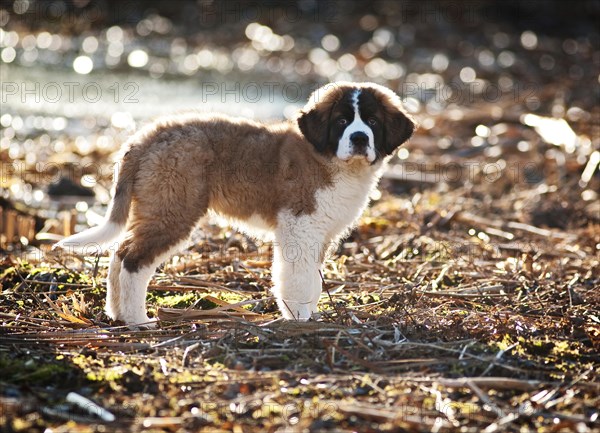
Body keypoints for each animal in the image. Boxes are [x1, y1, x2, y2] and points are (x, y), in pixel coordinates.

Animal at [54, 81, 414, 324]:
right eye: (341, 121)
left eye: (373, 122)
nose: (359, 138)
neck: (329, 160)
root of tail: (145, 138)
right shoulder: (299, 226)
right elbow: (298, 277)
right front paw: (298, 317)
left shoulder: (320, 234)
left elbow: (312, 277)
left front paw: (310, 313)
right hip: (173, 209)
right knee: (131, 259)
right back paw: (136, 319)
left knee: (119, 254)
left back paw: (116, 313)